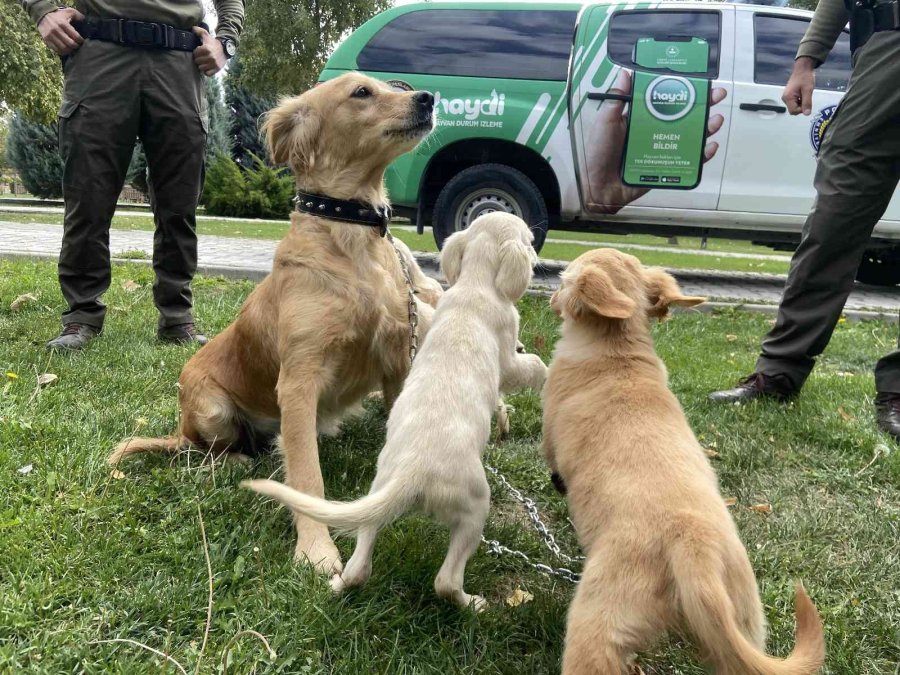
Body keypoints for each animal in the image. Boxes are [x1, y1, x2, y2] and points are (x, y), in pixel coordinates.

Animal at [109, 74, 442, 572]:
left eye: (395, 86)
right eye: (361, 92)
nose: (428, 98)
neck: (351, 241)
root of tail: (180, 426)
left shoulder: (398, 361)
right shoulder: (299, 380)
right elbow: (306, 478)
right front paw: (316, 549)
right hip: (211, 410)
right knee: (204, 450)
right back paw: (233, 461)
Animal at [243, 214, 544, 608]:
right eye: (529, 239)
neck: (474, 286)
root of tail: (412, 475)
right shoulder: (507, 351)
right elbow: (529, 366)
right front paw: (546, 375)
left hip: (376, 499)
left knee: (360, 561)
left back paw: (337, 585)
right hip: (476, 506)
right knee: (446, 580)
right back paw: (471, 603)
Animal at [536, 250, 828, 675]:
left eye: (562, 281)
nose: (550, 298)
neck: (617, 349)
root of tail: (694, 545)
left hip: (596, 626)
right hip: (743, 628)